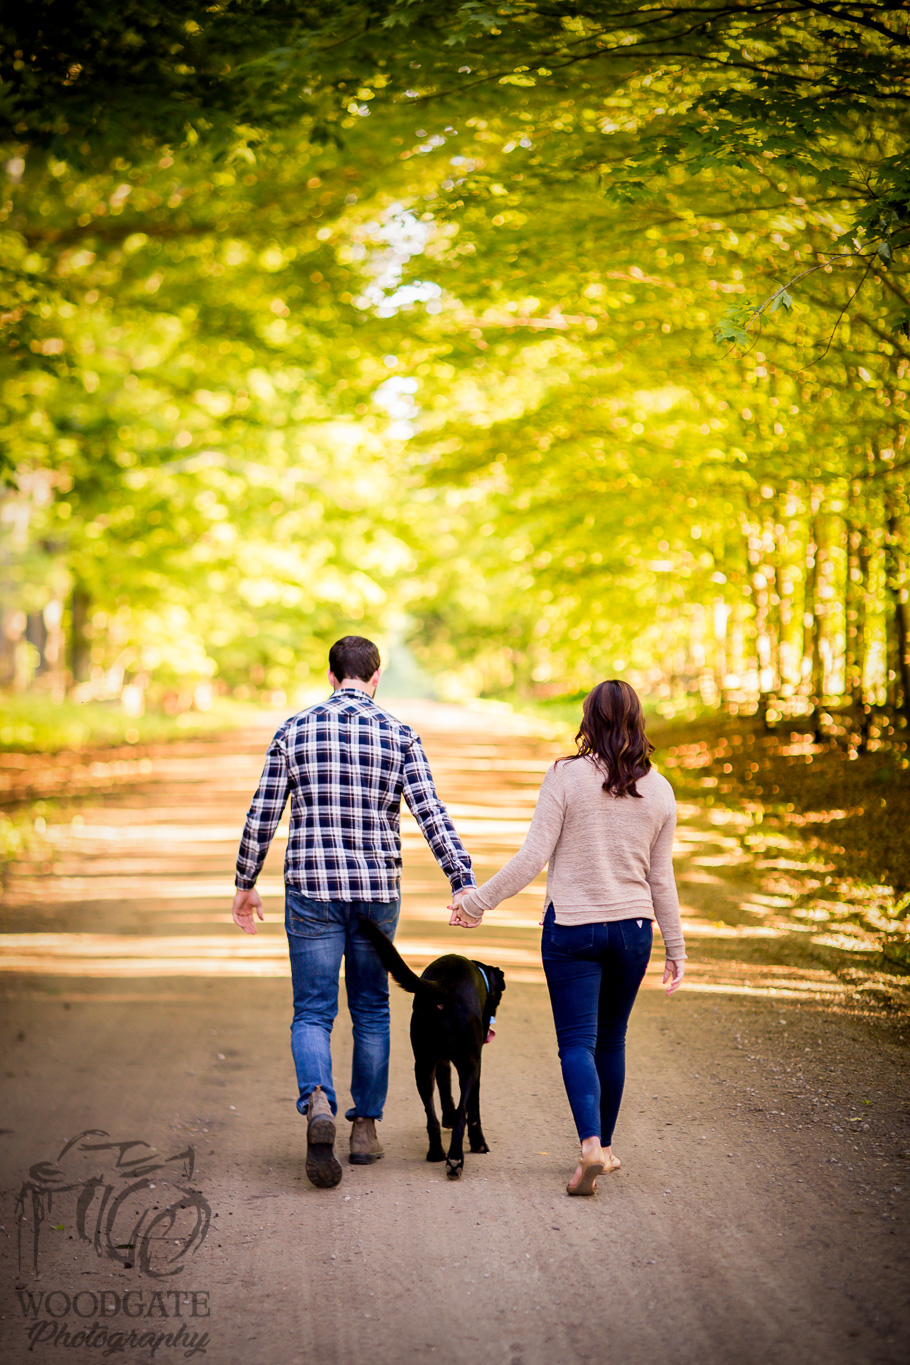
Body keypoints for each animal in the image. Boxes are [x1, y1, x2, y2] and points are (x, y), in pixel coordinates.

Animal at [360, 922, 504, 1179]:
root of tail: (443, 987)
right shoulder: (475, 1064)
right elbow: (473, 1111)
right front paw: (478, 1144)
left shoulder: (441, 1061)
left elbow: (445, 1089)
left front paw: (447, 1115)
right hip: (468, 1066)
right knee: (463, 1114)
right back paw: (455, 1159)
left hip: (423, 1066)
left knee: (431, 1116)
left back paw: (436, 1152)